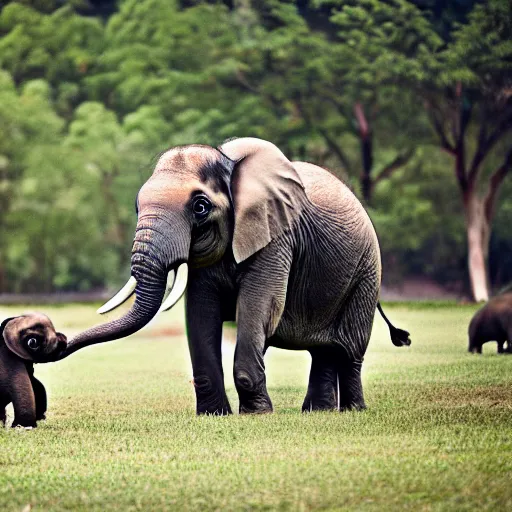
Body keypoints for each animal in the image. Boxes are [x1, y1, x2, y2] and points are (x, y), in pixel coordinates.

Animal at [55, 138, 408, 414]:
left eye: (200, 207)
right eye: (136, 206)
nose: (57, 343)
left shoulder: (275, 235)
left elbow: (260, 305)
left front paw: (257, 414)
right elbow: (201, 311)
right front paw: (214, 415)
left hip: (367, 270)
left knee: (350, 349)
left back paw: (352, 410)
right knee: (323, 350)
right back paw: (317, 412)